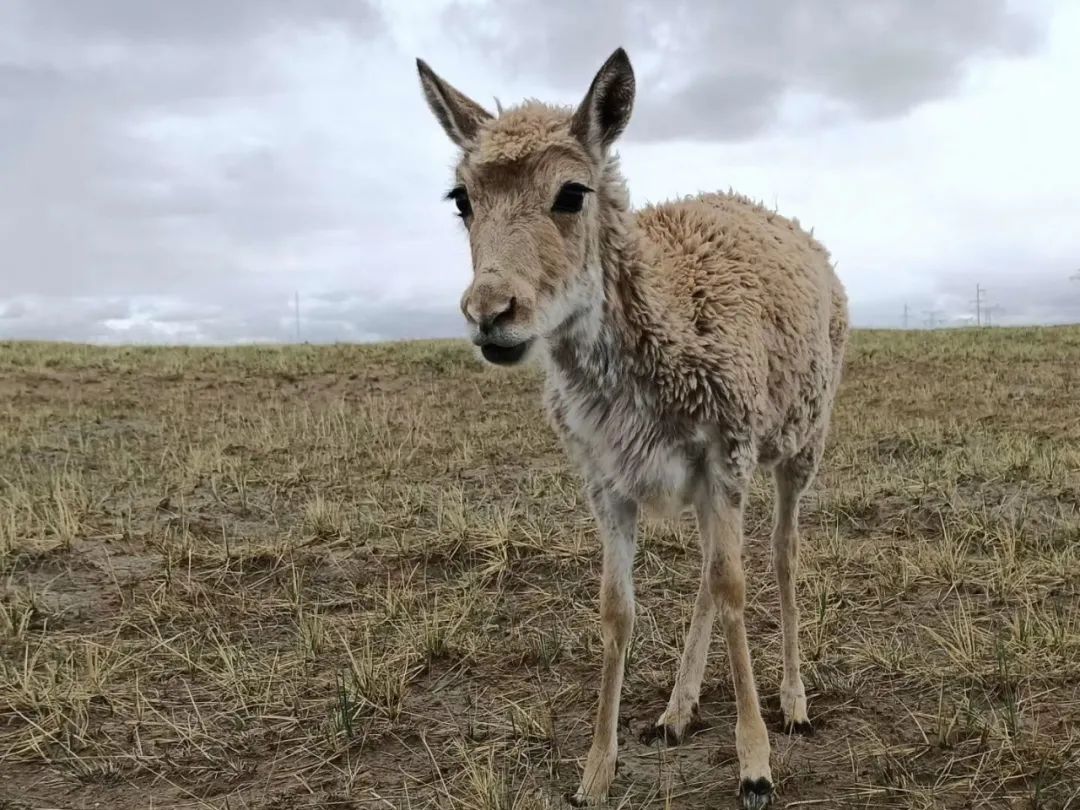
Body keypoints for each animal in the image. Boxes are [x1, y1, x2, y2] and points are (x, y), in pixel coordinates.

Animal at [416, 49, 846, 807]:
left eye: (571, 192)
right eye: (461, 198)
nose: (490, 312)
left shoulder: (727, 458)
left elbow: (736, 586)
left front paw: (755, 763)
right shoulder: (607, 481)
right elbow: (618, 608)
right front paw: (595, 770)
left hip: (800, 447)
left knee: (782, 553)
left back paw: (793, 700)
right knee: (713, 571)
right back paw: (677, 709)